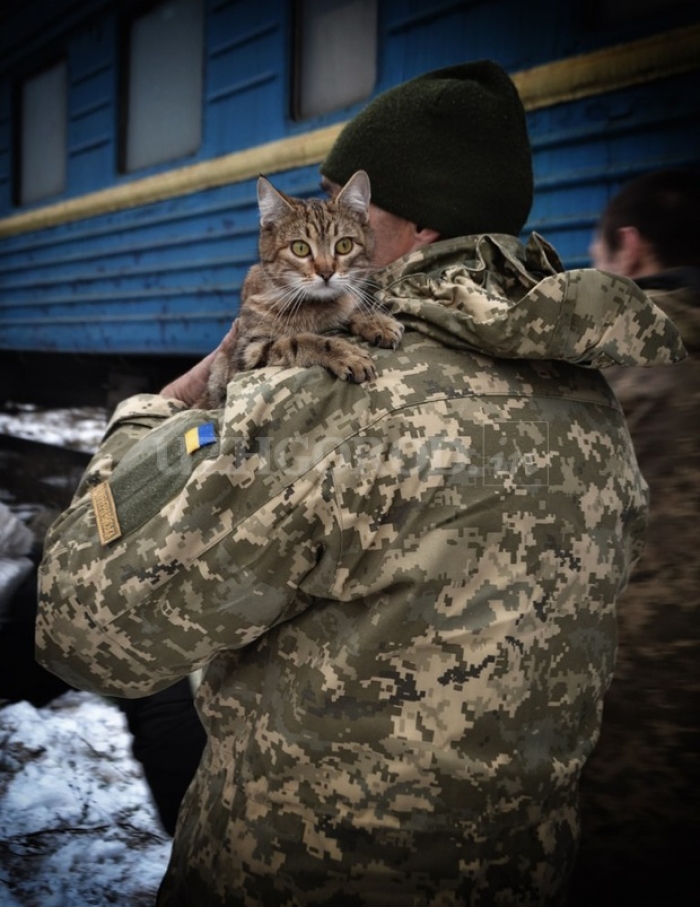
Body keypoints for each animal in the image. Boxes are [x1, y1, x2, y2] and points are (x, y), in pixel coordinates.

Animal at [198, 169, 404, 408]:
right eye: (300, 248)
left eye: (344, 245)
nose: (326, 272)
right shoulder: (245, 354)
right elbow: (298, 341)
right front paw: (344, 352)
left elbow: (347, 306)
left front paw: (377, 322)